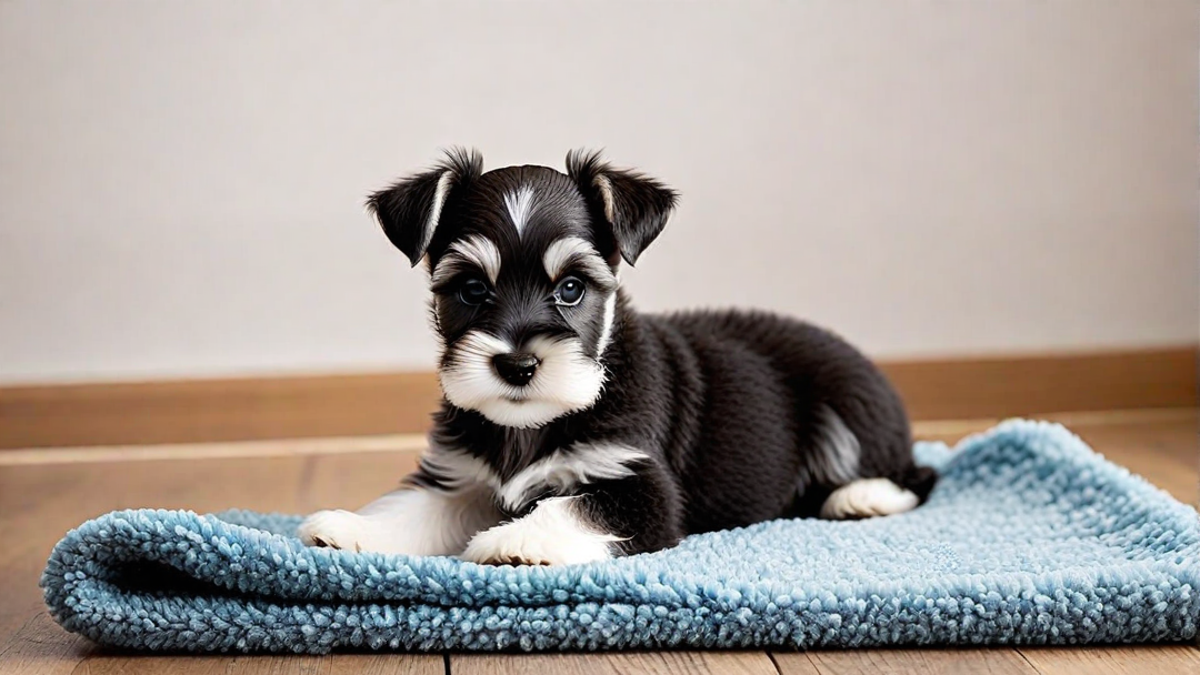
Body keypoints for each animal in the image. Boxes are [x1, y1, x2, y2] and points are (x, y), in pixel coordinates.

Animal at [300, 149, 936, 564]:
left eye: (572, 288)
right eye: (472, 289)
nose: (517, 366)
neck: (532, 425)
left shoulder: (640, 488)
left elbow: (573, 507)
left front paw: (515, 541)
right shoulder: (463, 480)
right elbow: (412, 508)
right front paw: (349, 529)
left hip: (850, 399)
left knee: (920, 472)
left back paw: (862, 496)